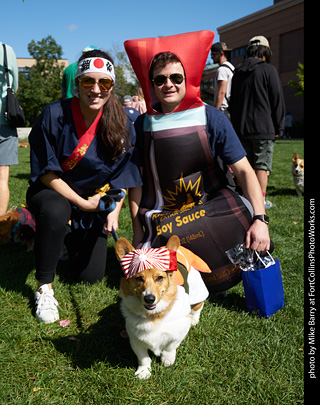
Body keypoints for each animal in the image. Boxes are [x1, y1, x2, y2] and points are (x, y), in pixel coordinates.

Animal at [115, 234, 210, 378]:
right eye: (139, 278)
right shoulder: (135, 340)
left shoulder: (179, 332)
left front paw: (167, 360)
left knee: (198, 307)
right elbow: (143, 357)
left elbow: (170, 347)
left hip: (197, 292)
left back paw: (195, 319)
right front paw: (144, 372)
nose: (149, 299)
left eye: (159, 278)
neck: (153, 316)